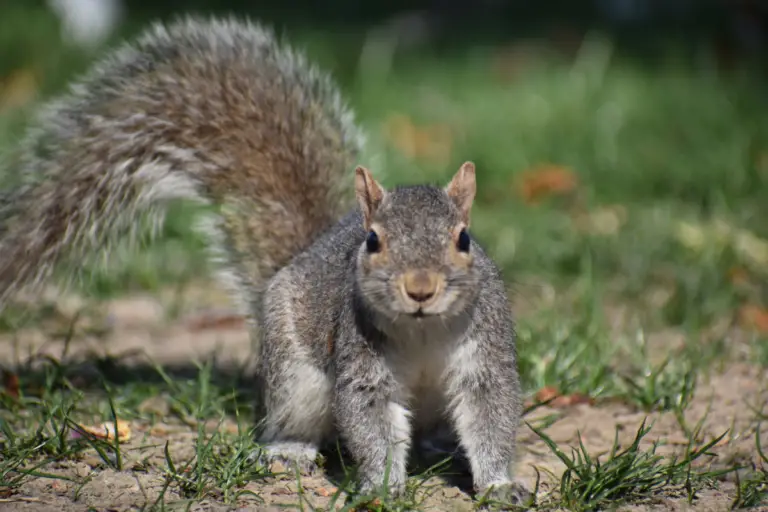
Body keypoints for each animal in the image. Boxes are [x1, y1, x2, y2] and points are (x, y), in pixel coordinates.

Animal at [0, 16, 530, 506]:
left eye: (463, 239)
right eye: (374, 241)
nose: (420, 288)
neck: (421, 331)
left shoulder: (485, 357)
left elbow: (491, 417)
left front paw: (499, 484)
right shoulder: (362, 364)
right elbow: (371, 425)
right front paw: (381, 487)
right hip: (294, 376)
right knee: (296, 419)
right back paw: (290, 450)